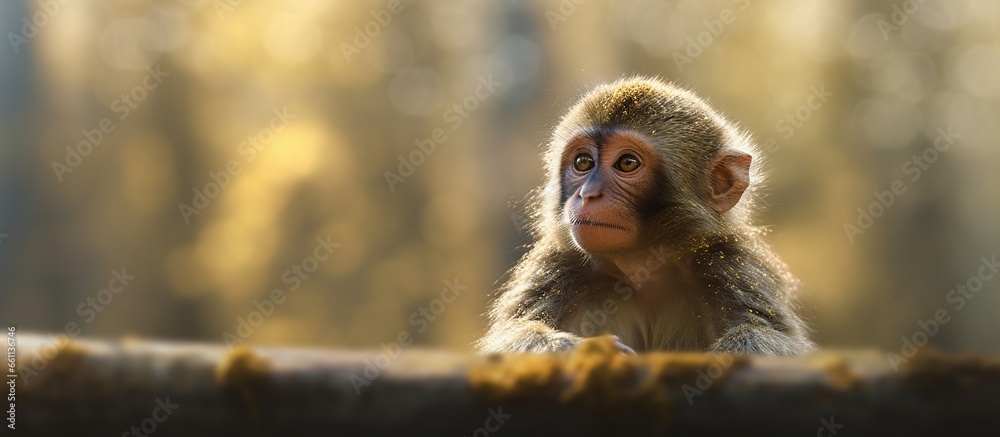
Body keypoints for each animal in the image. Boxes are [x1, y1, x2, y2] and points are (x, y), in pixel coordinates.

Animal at [478, 77, 814, 356]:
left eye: (627, 163)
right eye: (583, 162)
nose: (588, 194)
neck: (641, 269)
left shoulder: (732, 264)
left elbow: (770, 339)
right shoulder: (557, 266)